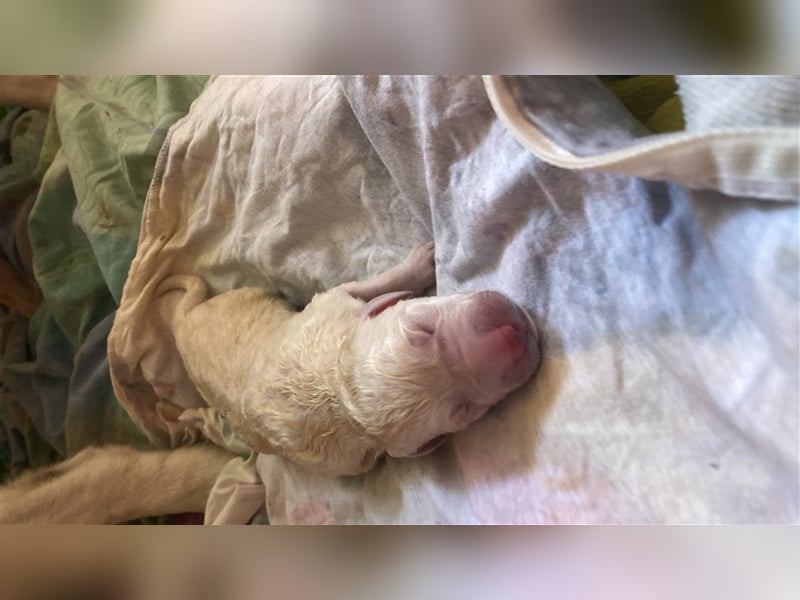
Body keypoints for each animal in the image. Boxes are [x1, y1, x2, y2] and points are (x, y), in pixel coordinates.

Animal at [174, 241, 536, 476]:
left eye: (424, 329)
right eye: (463, 409)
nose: (510, 335)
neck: (338, 394)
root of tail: (180, 326)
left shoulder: (330, 307)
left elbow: (367, 286)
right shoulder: (330, 307)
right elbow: (367, 285)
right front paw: (421, 262)